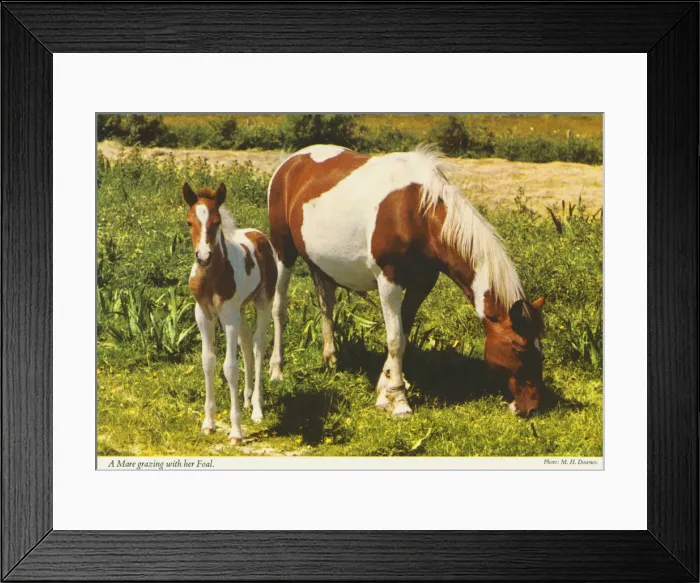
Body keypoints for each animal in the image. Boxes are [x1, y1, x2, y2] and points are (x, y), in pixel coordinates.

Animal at [183, 182, 277, 444]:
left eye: (216, 221)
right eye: (189, 222)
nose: (203, 257)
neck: (212, 276)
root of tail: (259, 234)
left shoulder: (228, 317)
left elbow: (230, 368)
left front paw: (236, 431)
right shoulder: (203, 315)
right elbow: (208, 362)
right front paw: (208, 423)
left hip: (262, 302)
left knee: (257, 346)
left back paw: (256, 409)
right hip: (240, 309)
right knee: (245, 342)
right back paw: (246, 400)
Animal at [266, 144, 545, 418]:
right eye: (519, 349)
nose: (531, 407)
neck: (417, 213)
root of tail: (290, 161)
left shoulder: (422, 283)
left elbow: (404, 334)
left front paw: (384, 391)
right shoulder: (389, 281)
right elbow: (394, 339)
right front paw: (399, 400)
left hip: (321, 264)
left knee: (327, 306)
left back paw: (331, 359)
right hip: (283, 251)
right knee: (279, 309)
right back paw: (276, 370)